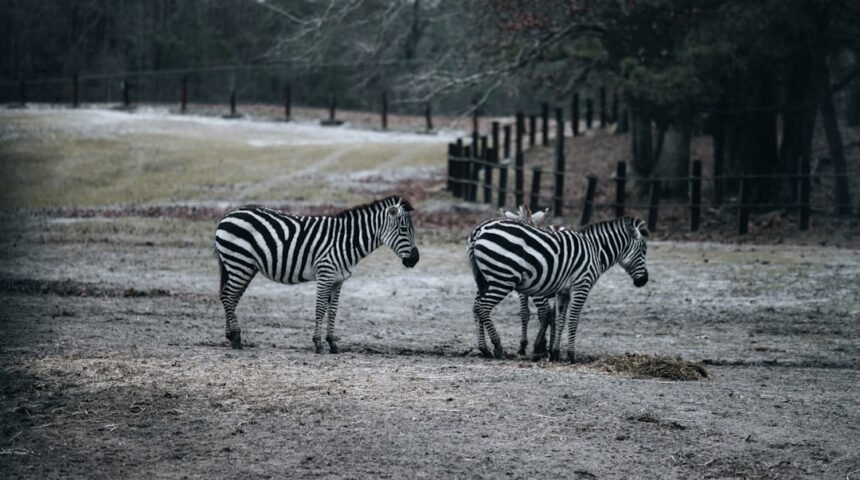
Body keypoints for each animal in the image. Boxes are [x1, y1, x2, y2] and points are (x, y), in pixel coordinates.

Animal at [214, 195, 419, 352]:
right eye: (403, 229)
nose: (415, 259)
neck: (346, 242)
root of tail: (228, 215)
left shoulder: (338, 280)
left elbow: (333, 310)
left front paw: (332, 343)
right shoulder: (325, 274)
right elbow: (320, 308)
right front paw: (319, 344)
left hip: (245, 266)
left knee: (230, 296)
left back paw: (230, 335)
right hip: (239, 262)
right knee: (229, 296)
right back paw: (236, 338)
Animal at [468, 216, 649, 361]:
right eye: (643, 251)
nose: (644, 281)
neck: (596, 252)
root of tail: (479, 230)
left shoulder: (563, 292)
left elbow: (560, 320)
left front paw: (555, 353)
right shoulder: (581, 286)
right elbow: (573, 320)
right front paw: (571, 355)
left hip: (484, 279)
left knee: (476, 307)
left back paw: (485, 349)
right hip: (503, 279)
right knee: (483, 307)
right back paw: (498, 347)